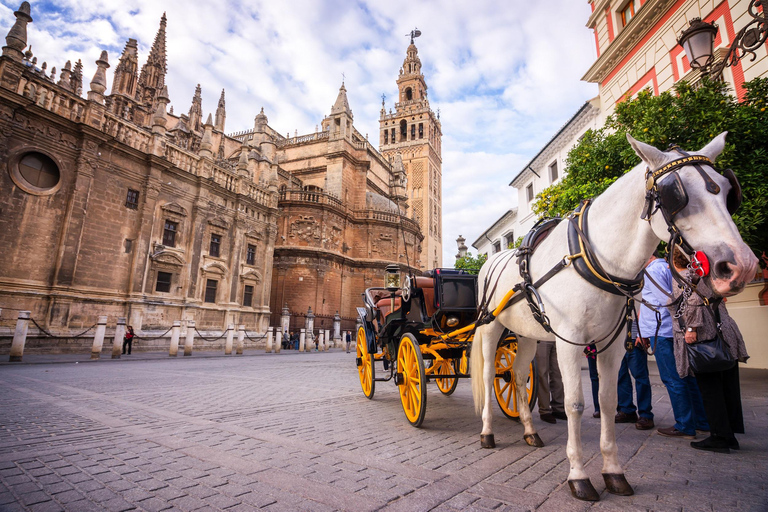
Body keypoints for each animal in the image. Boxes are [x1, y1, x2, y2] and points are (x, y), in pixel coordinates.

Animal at [472, 132, 760, 500]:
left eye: (726, 190)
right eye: (675, 193)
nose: (742, 265)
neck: (595, 258)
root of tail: (490, 263)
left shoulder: (612, 343)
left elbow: (608, 401)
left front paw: (612, 471)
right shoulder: (569, 342)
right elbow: (576, 404)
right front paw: (578, 475)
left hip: (527, 334)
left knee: (519, 376)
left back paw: (528, 430)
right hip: (492, 326)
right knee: (487, 375)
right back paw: (487, 432)